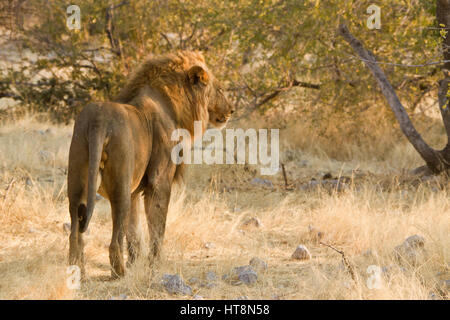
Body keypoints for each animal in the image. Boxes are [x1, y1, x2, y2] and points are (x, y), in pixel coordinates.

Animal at [68, 50, 236, 278]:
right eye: (218, 89)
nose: (232, 110)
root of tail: (98, 120)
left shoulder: (134, 190)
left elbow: (134, 231)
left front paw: (135, 262)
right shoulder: (159, 181)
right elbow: (157, 226)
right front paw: (154, 265)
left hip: (77, 183)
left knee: (75, 232)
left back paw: (78, 272)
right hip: (120, 185)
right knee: (114, 239)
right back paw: (120, 273)